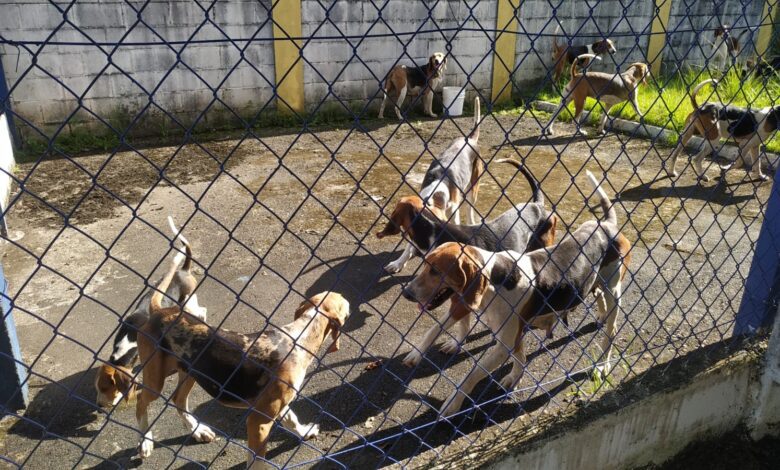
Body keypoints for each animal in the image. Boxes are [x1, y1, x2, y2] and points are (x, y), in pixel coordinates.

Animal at [136, 248, 348, 468]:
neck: (300, 336)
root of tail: (159, 311)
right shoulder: (259, 422)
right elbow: (257, 460)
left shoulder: (278, 404)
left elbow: (292, 419)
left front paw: (304, 432)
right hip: (155, 379)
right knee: (140, 400)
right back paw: (145, 442)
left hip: (189, 373)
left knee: (178, 399)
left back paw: (198, 431)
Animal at [400, 171, 632, 416]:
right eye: (424, 264)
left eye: (435, 271)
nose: (406, 293)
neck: (496, 277)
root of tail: (607, 225)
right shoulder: (512, 332)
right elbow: (518, 357)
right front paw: (514, 378)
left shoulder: (503, 344)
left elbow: (471, 375)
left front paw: (453, 404)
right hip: (596, 283)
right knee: (600, 301)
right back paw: (600, 317)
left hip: (613, 292)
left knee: (611, 332)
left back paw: (603, 364)